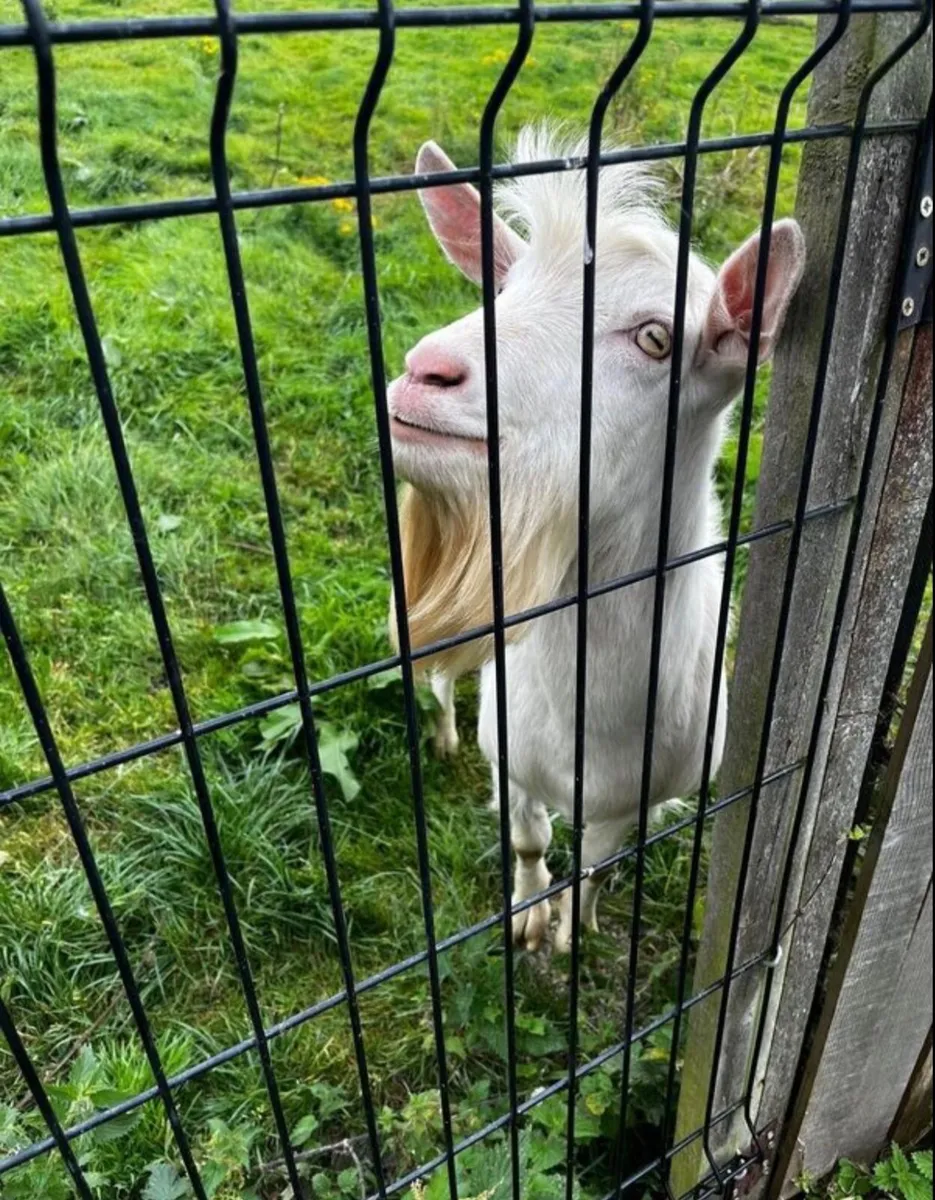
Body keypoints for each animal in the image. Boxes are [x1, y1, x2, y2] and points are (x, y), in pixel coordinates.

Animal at [387, 127, 805, 954]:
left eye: (655, 338)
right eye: (500, 293)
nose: (426, 372)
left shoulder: (635, 803)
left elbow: (597, 866)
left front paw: (569, 929)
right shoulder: (511, 755)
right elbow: (528, 840)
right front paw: (525, 918)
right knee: (442, 679)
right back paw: (442, 733)